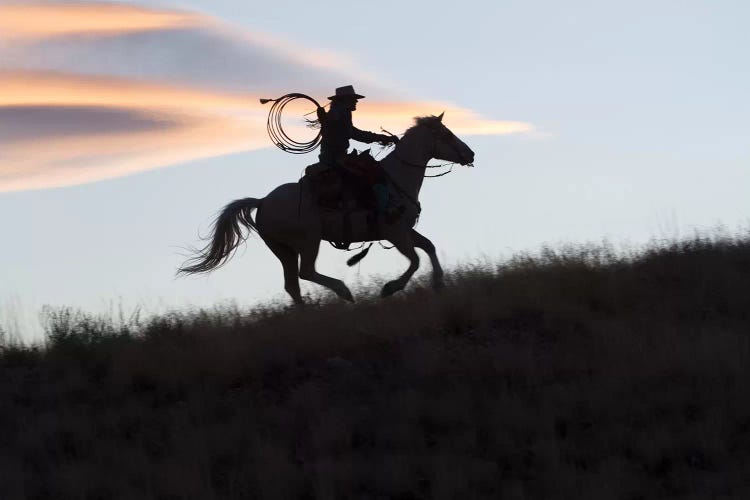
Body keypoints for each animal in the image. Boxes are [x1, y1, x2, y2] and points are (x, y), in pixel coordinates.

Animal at [178, 112, 476, 300]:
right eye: (446, 134)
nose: (471, 154)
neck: (396, 179)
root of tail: (262, 202)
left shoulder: (405, 231)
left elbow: (429, 247)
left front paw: (439, 283)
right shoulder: (394, 232)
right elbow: (414, 260)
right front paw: (390, 288)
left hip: (283, 250)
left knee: (292, 284)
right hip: (309, 241)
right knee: (306, 272)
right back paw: (344, 292)